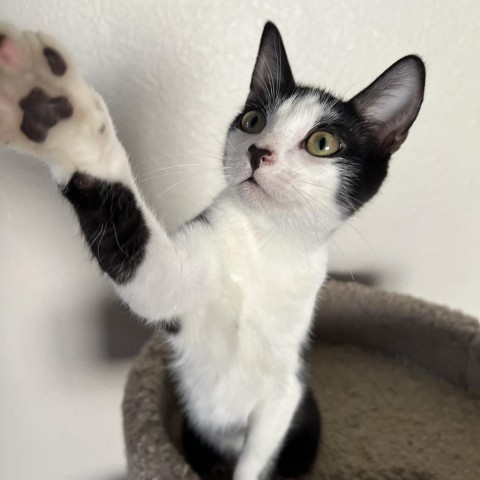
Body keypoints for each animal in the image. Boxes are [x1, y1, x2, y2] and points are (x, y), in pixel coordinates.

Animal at [0, 20, 426, 478]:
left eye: (323, 142)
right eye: (253, 120)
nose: (259, 151)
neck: (265, 244)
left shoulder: (285, 389)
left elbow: (257, 455)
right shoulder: (176, 283)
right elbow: (149, 276)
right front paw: (58, 117)